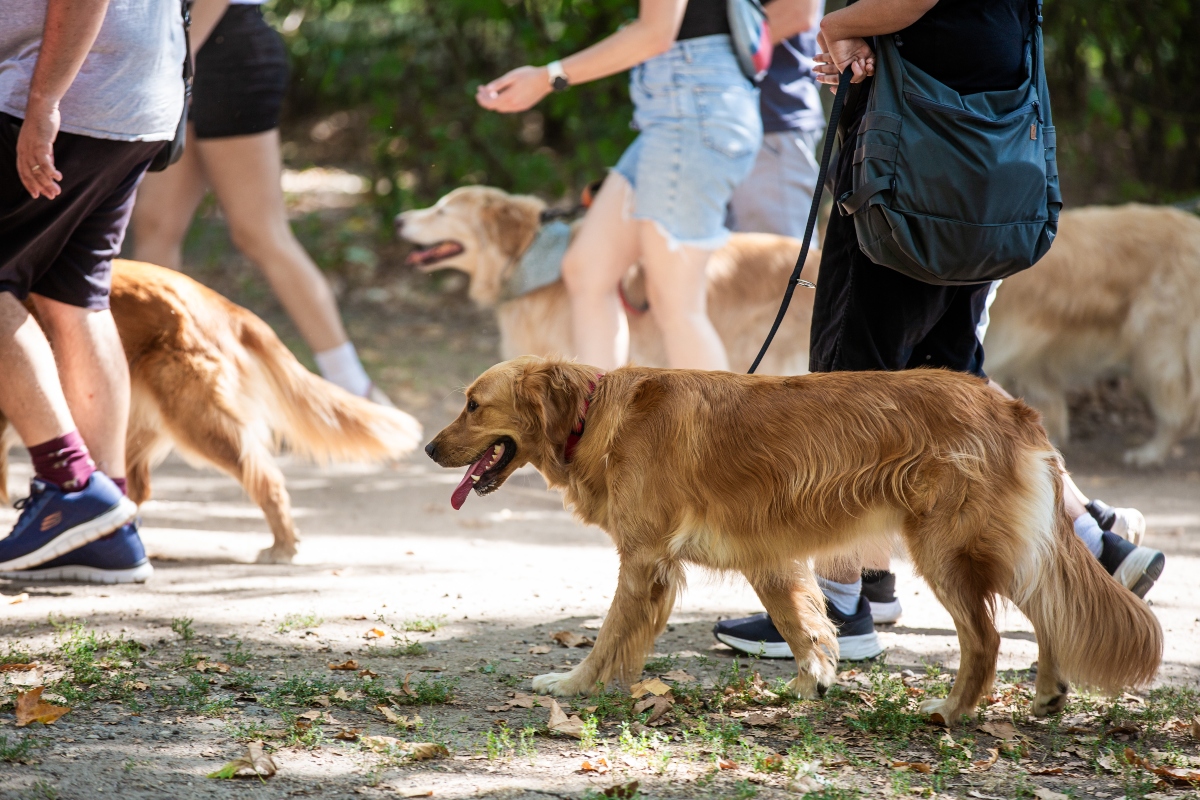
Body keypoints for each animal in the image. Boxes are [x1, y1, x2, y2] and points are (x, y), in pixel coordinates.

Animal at [429, 359, 1161, 724]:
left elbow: (609, 637)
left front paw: (574, 686)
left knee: (985, 639)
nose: (430, 447)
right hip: (1001, 551)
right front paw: (815, 685)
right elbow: (803, 626)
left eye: (472, 404)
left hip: (948, 551)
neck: (593, 413)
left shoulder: (643, 562)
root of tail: (1010, 405)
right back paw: (1047, 696)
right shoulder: (770, 558)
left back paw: (953, 711)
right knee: (1048, 614)